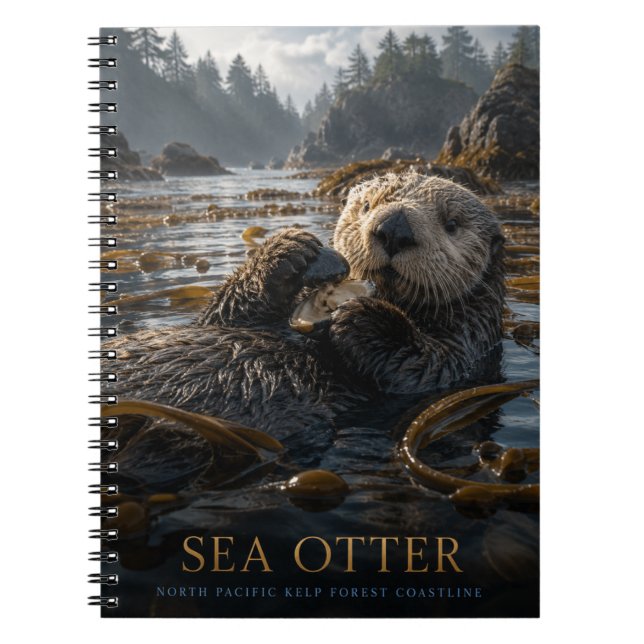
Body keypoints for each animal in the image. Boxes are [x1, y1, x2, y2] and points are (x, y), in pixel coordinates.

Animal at [105, 173, 505, 437]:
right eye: (366, 205)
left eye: (451, 224)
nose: (394, 227)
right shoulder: (226, 319)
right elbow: (217, 317)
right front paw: (289, 251)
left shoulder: (470, 345)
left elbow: (425, 367)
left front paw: (362, 317)